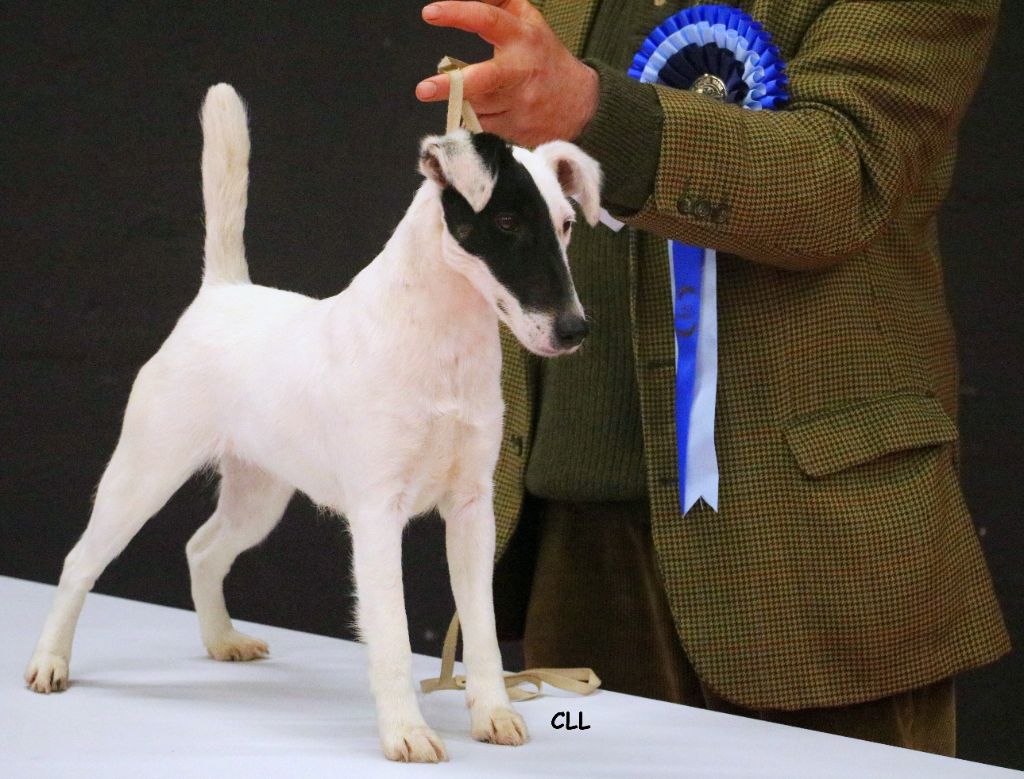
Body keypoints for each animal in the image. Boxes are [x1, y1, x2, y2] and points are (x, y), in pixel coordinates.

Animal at [24, 83, 598, 761]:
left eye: (565, 225)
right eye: (507, 223)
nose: (575, 331)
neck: (443, 347)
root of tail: (220, 295)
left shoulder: (471, 509)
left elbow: (479, 625)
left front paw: (493, 713)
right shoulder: (378, 515)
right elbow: (392, 632)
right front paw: (406, 732)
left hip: (258, 496)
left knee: (203, 549)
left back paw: (221, 639)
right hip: (141, 476)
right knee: (80, 563)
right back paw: (50, 661)